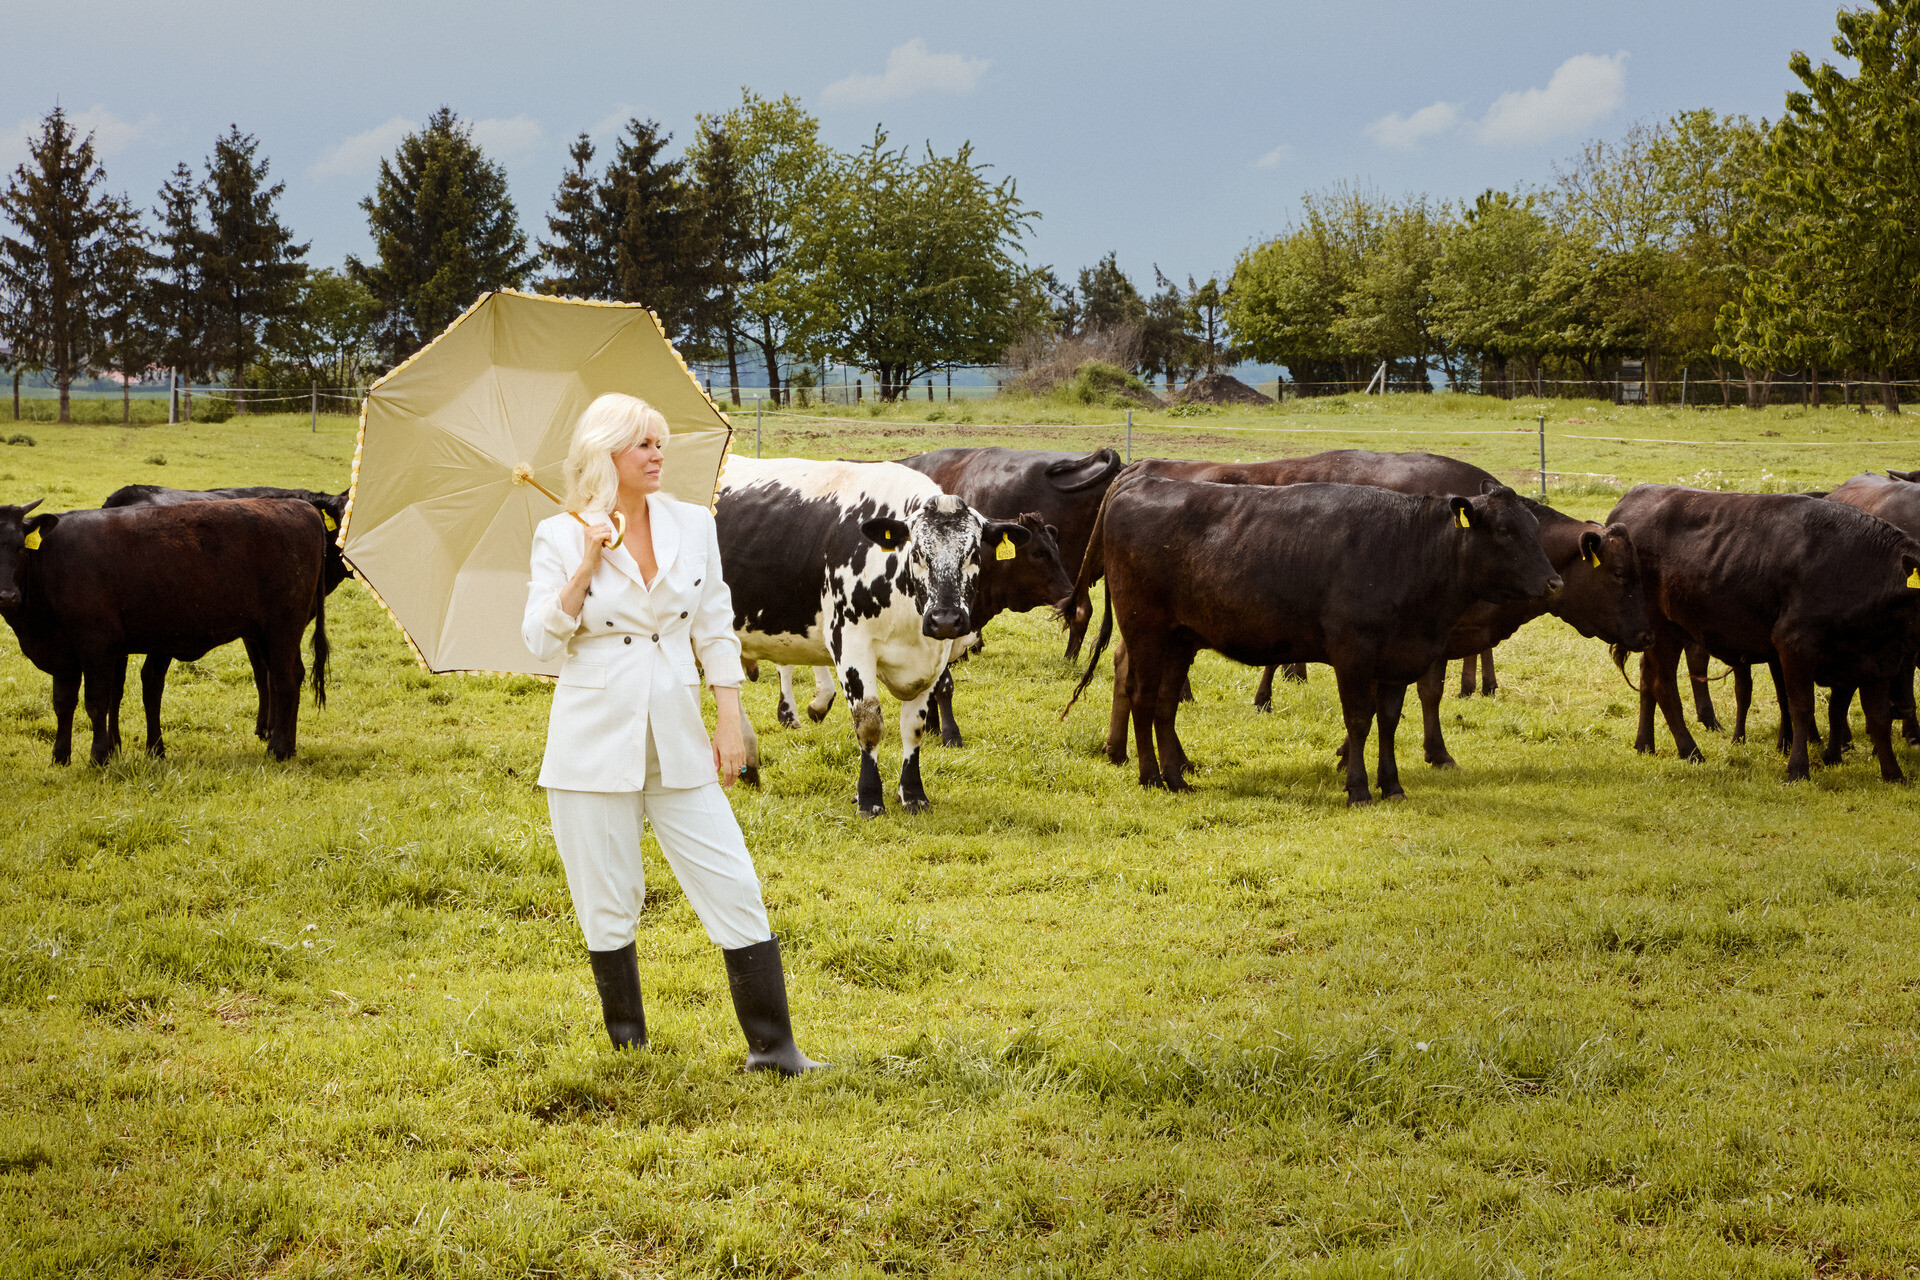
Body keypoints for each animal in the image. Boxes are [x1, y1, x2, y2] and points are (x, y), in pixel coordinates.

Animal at [0, 498, 330, 759]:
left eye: (20, 548)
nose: (6, 596)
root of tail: (302, 506)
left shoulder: (98, 645)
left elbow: (96, 702)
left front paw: (99, 756)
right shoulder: (64, 654)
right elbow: (63, 703)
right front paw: (60, 756)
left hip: (282, 628)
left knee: (285, 680)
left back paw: (278, 749)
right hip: (267, 632)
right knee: (292, 675)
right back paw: (289, 746)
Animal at [714, 460, 1029, 817]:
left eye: (974, 554)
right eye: (917, 554)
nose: (945, 619)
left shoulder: (932, 659)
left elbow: (914, 728)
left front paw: (913, 793)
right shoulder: (851, 646)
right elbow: (869, 724)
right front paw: (869, 797)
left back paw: (748, 764)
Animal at [1067, 475, 1559, 805]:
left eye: (1535, 529)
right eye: (1505, 531)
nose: (1554, 582)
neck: (1407, 548)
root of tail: (1141, 480)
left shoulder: (1399, 658)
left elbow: (1388, 721)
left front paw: (1392, 785)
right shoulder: (1352, 653)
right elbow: (1358, 720)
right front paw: (1358, 788)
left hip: (1180, 639)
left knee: (1166, 704)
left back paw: (1176, 778)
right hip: (1146, 631)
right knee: (1142, 697)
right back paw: (1150, 776)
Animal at [1605, 487, 1920, 782]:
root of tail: (1637, 494)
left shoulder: (1876, 659)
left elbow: (1877, 717)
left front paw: (1893, 774)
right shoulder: (1793, 644)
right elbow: (1800, 707)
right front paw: (1798, 769)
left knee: (1648, 679)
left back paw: (1645, 744)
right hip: (1662, 628)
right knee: (1663, 686)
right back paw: (1690, 751)